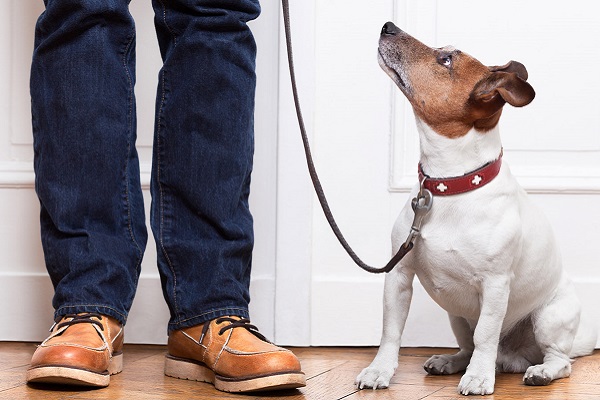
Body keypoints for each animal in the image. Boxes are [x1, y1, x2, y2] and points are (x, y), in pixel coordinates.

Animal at [354, 22, 596, 396]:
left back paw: (536, 371)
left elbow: (486, 334)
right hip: (457, 317)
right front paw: (379, 371)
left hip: (549, 318)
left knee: (559, 360)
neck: (451, 185)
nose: (388, 26)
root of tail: (513, 358)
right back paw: (451, 361)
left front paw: (480, 378)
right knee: (467, 345)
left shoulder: (495, 285)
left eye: (446, 60)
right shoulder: (399, 275)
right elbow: (391, 331)